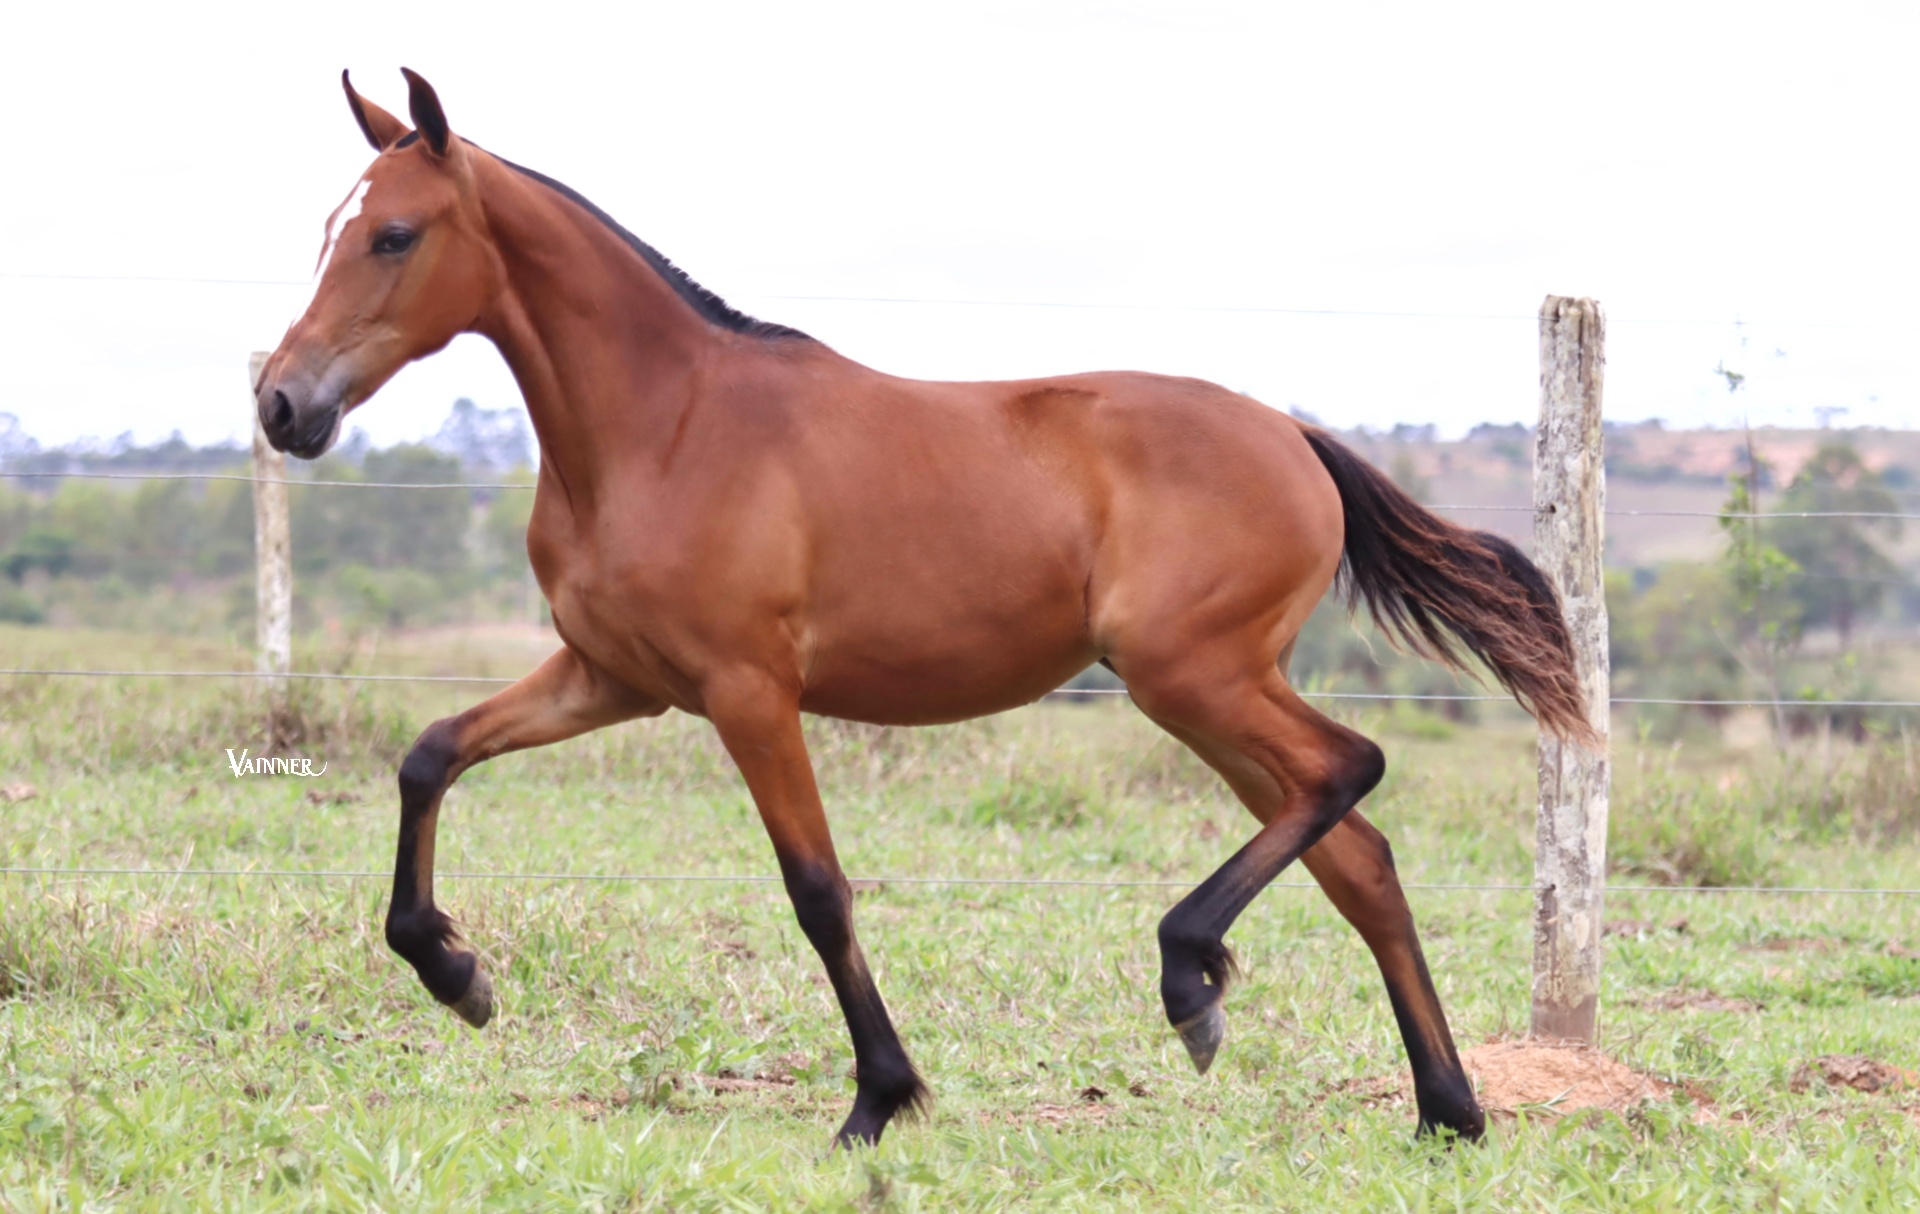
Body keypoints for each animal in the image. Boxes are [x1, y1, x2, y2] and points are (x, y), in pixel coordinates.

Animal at [255, 69, 1590, 1149]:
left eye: (392, 235)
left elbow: (816, 889)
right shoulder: (611, 676)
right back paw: (1444, 1107)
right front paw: (456, 971)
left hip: (1194, 677)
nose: (281, 403)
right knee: (1357, 854)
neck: (666, 425)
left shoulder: (749, 691)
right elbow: (429, 755)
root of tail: (1297, 436)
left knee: (1350, 770)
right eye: (327, 230)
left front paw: (879, 1099)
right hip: (1209, 695)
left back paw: (1194, 978)